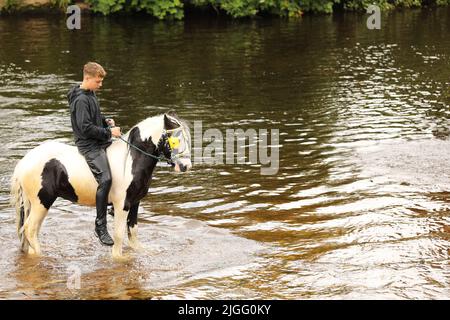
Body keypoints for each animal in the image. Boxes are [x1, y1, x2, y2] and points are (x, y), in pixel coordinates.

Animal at [10, 112, 190, 260]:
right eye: (175, 140)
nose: (185, 166)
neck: (131, 160)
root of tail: (24, 162)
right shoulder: (122, 205)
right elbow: (119, 235)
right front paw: (119, 259)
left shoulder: (135, 202)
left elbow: (133, 231)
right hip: (42, 202)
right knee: (30, 229)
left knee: (31, 231)